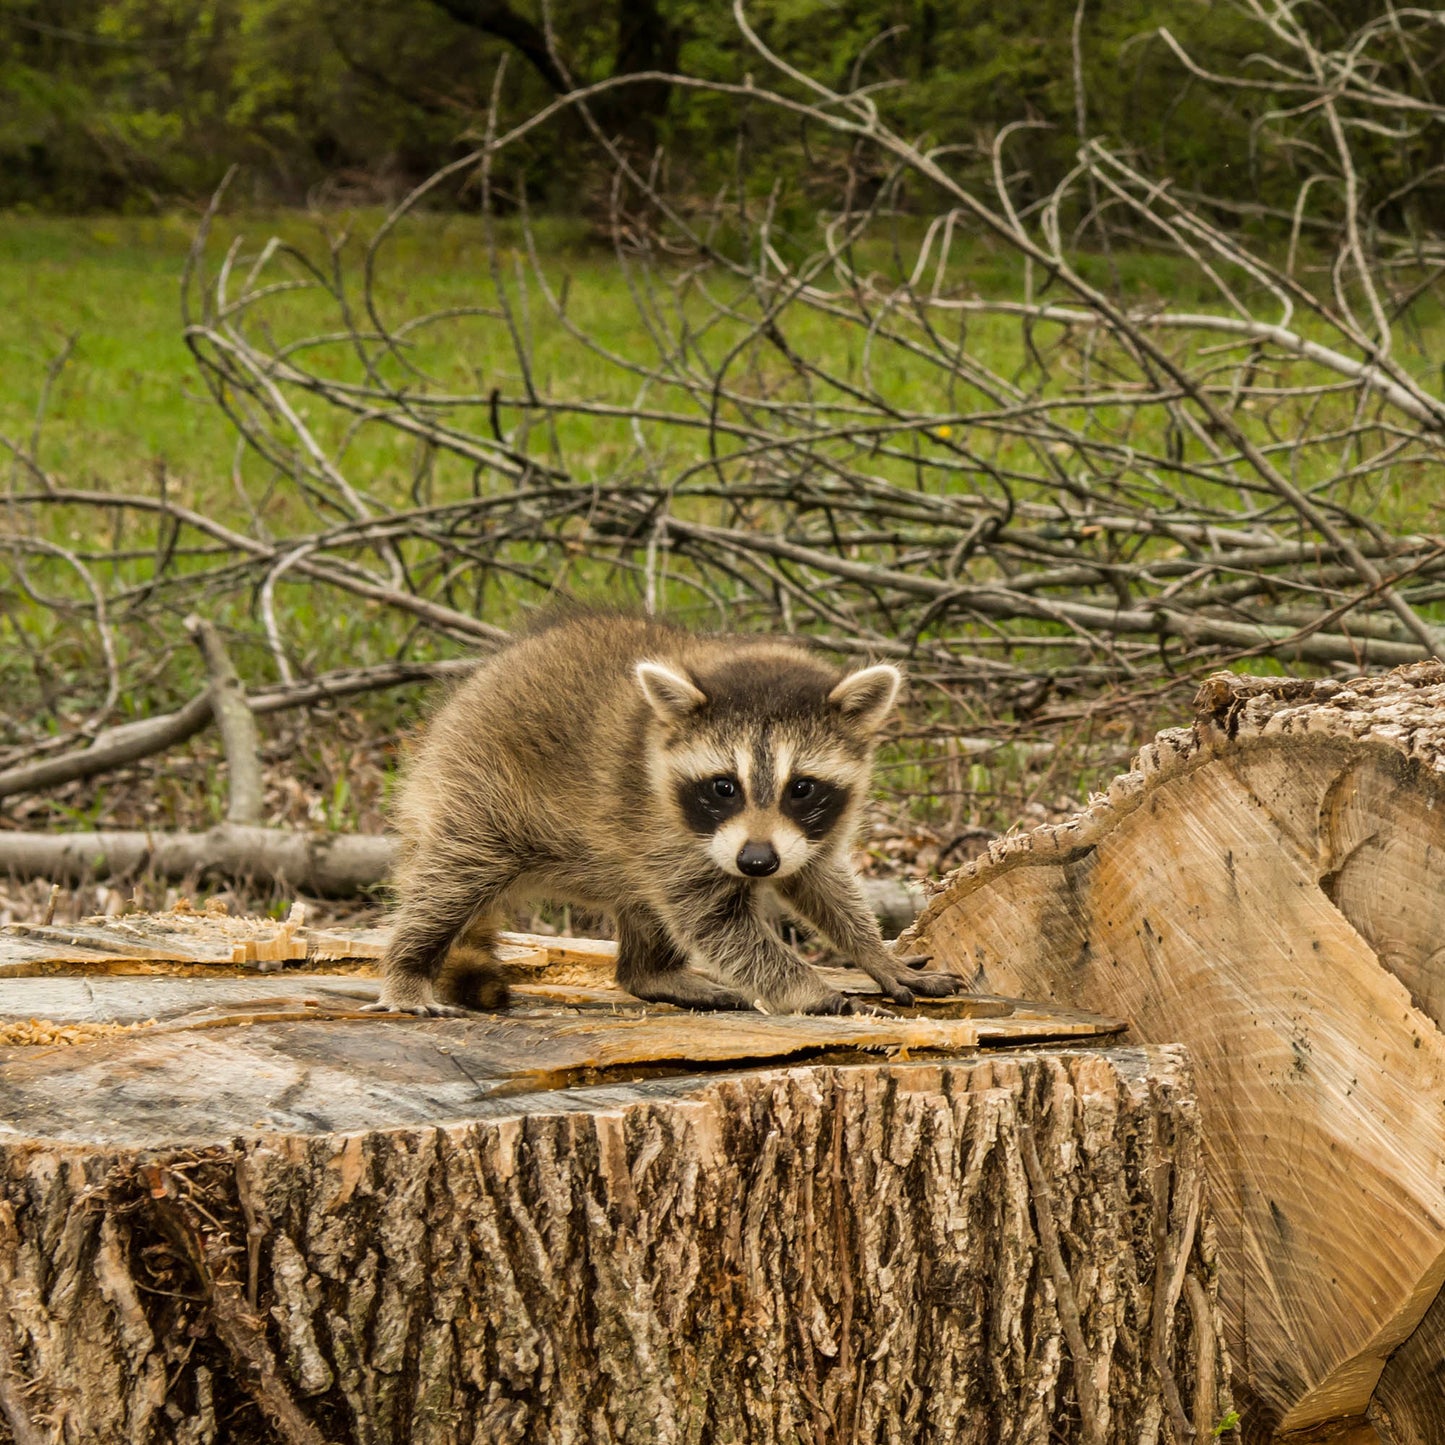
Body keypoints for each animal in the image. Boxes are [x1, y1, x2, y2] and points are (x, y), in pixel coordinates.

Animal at [375, 615, 959, 1011]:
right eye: (724, 787)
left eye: (801, 788)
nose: (756, 863)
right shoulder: (661, 827)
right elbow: (717, 925)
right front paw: (808, 989)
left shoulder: (806, 833)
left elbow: (822, 883)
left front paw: (874, 953)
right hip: (477, 793)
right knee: (449, 883)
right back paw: (408, 967)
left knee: (641, 909)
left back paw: (652, 974)